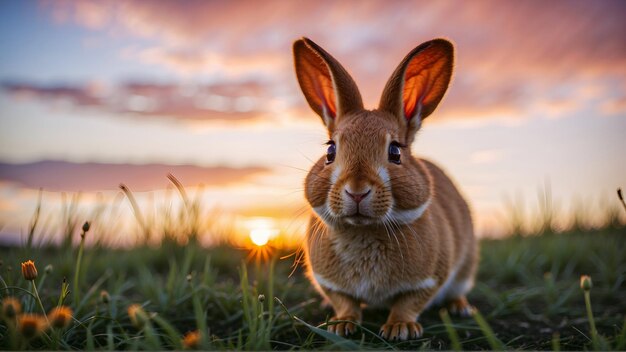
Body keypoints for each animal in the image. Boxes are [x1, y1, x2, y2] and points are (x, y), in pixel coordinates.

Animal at [292, 36, 478, 340]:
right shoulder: (329, 282)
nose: (357, 191)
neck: (364, 230)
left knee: (457, 290)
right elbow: (345, 302)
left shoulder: (429, 280)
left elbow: (409, 303)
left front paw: (399, 329)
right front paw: (341, 324)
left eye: (395, 152)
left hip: (465, 268)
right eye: (330, 151)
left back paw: (461, 309)